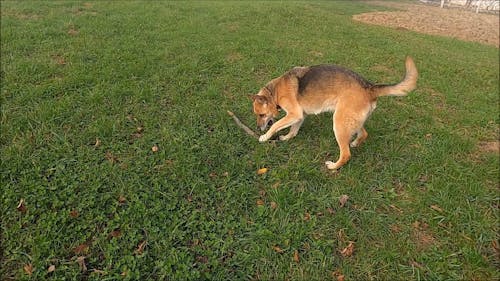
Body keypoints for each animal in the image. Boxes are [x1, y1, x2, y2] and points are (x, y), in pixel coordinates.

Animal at [250, 54, 418, 168]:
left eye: (261, 115)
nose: (258, 128)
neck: (275, 92)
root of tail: (369, 87)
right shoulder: (299, 116)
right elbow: (293, 130)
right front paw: (286, 138)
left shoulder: (294, 114)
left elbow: (275, 125)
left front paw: (264, 137)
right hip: (350, 121)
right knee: (363, 134)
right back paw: (355, 143)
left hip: (339, 124)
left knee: (346, 154)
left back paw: (333, 166)